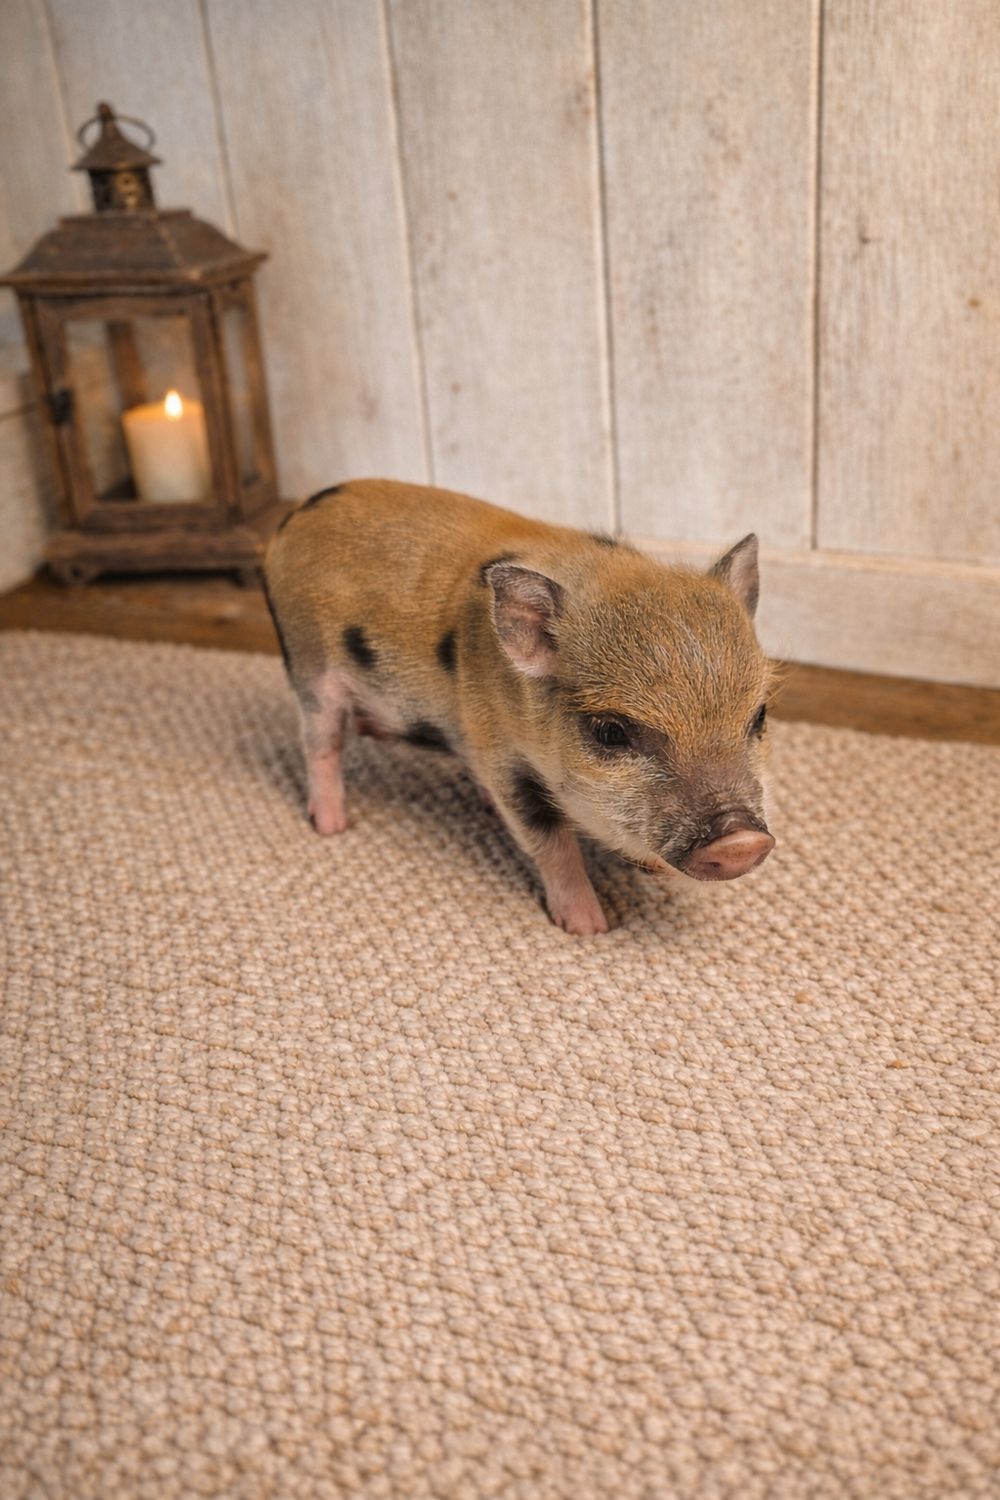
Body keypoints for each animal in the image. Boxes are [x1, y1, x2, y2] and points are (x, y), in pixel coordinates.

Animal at [263, 478, 776, 935]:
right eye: (610, 731)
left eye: (759, 716)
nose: (742, 840)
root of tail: (290, 521)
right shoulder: (503, 757)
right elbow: (550, 843)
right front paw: (589, 929)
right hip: (311, 668)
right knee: (321, 744)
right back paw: (333, 827)